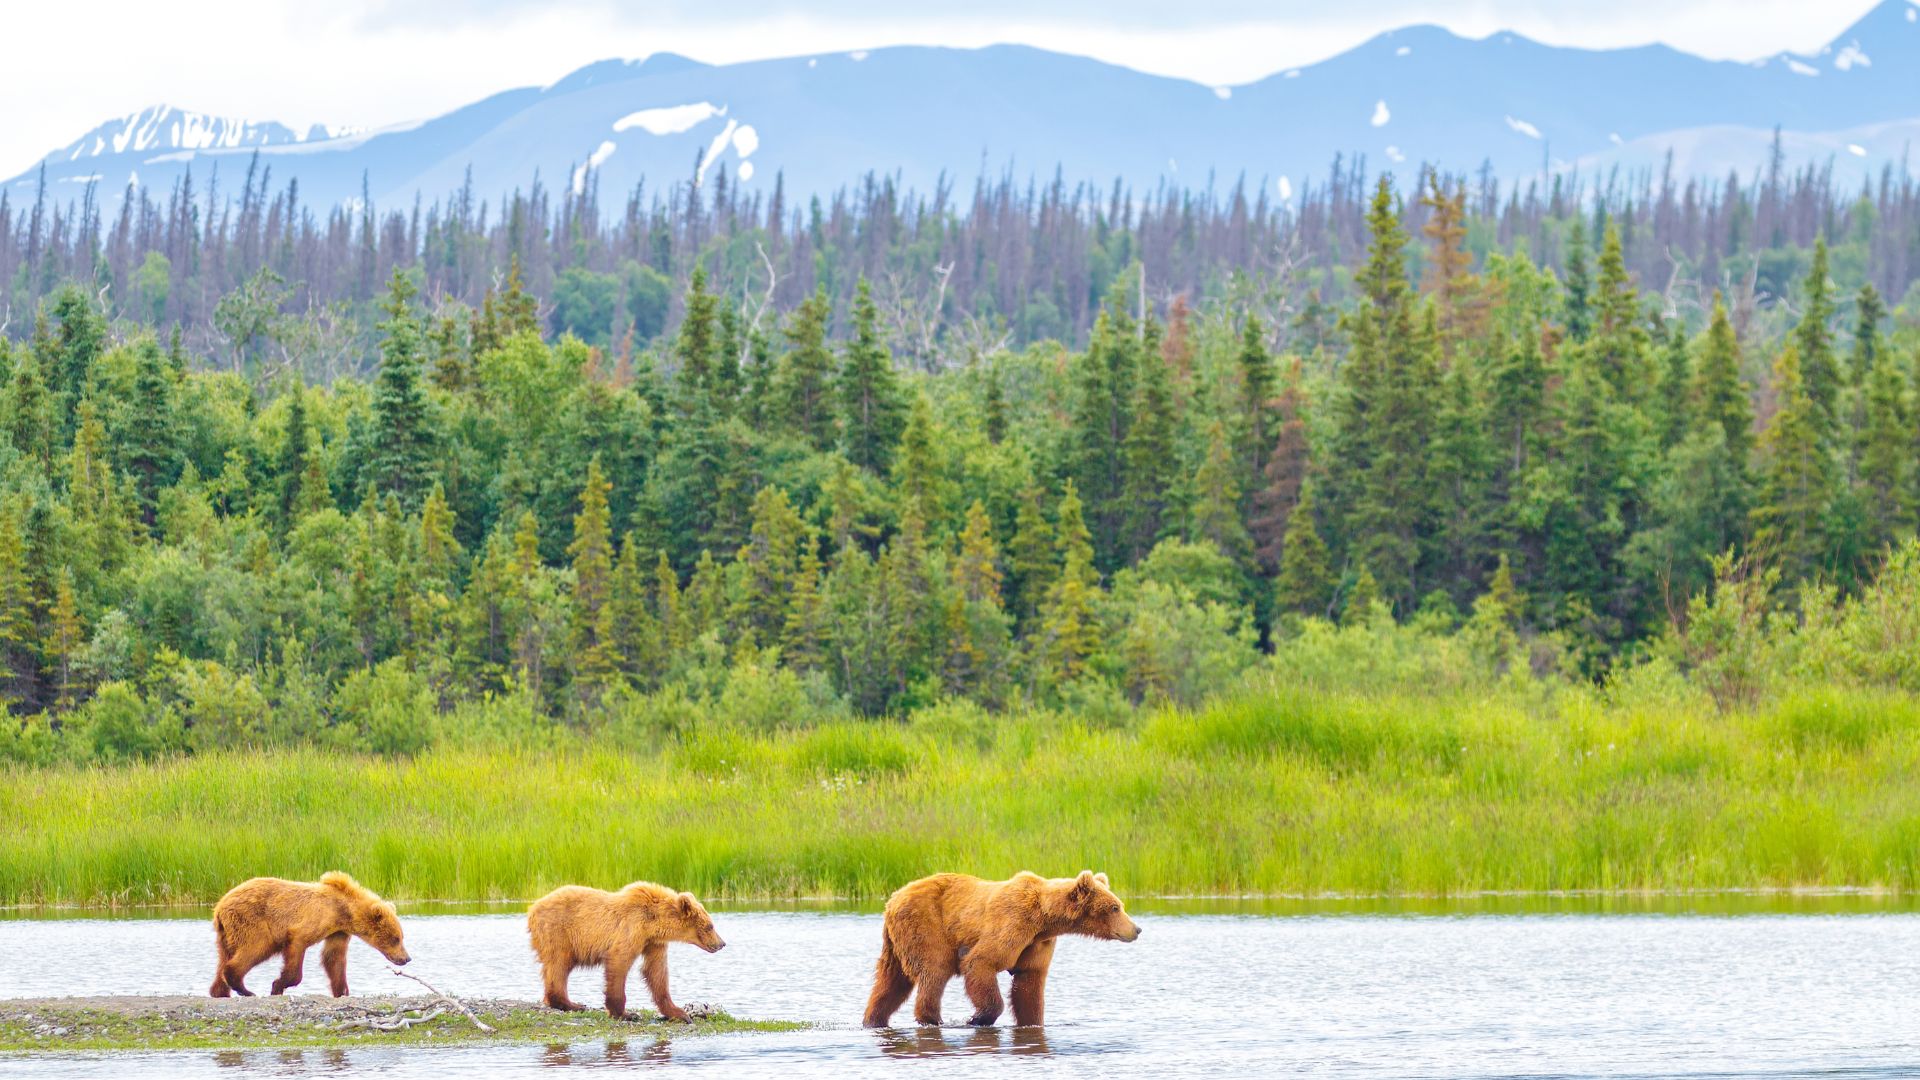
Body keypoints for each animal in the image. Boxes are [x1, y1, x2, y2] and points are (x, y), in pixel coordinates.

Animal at [206, 864, 408, 991]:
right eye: (396, 938)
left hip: (226, 933)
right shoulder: (311, 922)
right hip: (252, 921)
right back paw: (244, 989)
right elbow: (298, 947)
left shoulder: (338, 932)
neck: (343, 911)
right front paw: (278, 985)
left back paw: (220, 991)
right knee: (255, 947)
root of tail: (220, 906)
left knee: (224, 957)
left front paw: (341, 991)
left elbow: (334, 958)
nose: (406, 958)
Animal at [526, 876, 725, 1014]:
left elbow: (656, 971)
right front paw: (624, 1013)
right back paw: (572, 1004)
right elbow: (619, 961)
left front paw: (678, 1013)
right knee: (559, 964)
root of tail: (533, 908)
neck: (653, 921)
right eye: (710, 926)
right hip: (558, 931)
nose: (722, 943)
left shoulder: (653, 942)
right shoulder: (632, 928)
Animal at [867, 864, 1136, 1022]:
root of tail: (892, 899)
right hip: (925, 924)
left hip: (896, 941)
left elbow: (1029, 985)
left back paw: (873, 1019)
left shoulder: (1037, 943)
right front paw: (978, 1017)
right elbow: (980, 962)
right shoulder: (1013, 923)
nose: (1137, 929)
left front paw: (1032, 1021)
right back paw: (932, 1018)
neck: (1043, 919)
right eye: (1115, 907)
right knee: (934, 970)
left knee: (891, 982)